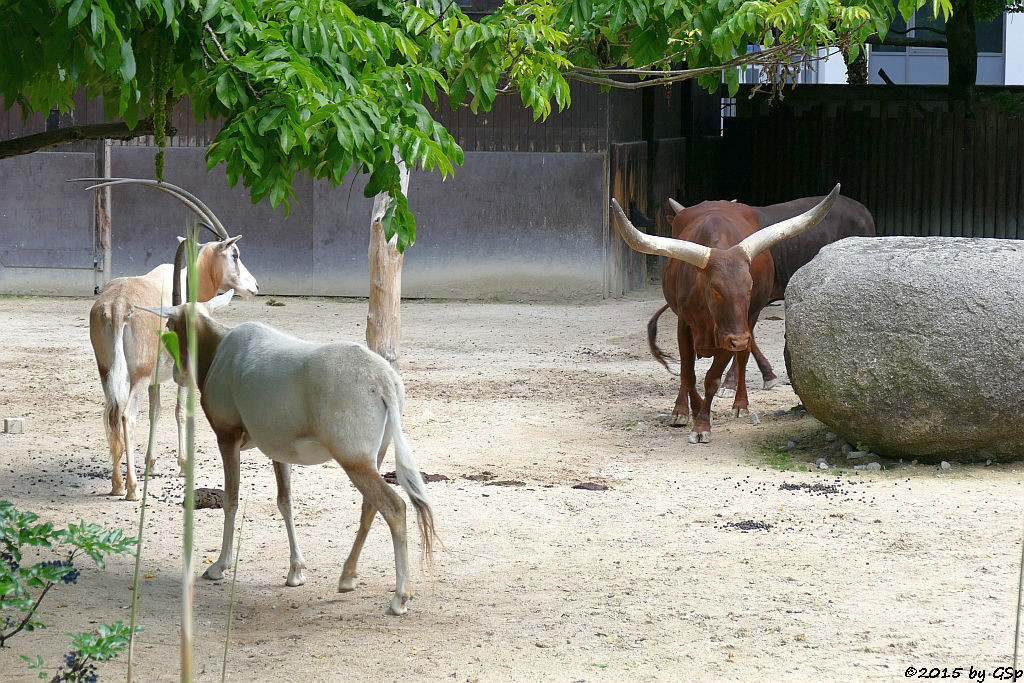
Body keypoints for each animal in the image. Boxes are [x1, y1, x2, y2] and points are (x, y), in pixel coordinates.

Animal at [82, 180, 262, 501]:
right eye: (235, 254)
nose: (254, 286)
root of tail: (117, 305)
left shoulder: (155, 378)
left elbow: (157, 412)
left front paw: (151, 463)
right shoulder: (181, 371)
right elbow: (180, 411)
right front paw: (182, 464)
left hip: (106, 371)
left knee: (111, 414)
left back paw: (117, 483)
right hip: (136, 375)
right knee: (126, 416)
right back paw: (132, 488)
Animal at [140, 290, 436, 618]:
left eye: (169, 324)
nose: (176, 374)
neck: (220, 349)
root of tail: (384, 382)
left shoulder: (227, 438)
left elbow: (231, 499)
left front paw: (218, 567)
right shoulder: (278, 451)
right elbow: (285, 502)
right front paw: (296, 572)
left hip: (354, 461)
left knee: (395, 507)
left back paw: (399, 598)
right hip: (374, 458)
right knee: (370, 507)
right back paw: (347, 579)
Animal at [610, 187, 835, 444]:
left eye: (749, 287)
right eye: (715, 289)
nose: (739, 339)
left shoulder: (730, 334)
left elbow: (712, 378)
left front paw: (701, 424)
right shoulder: (684, 325)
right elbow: (687, 374)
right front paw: (689, 410)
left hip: (750, 318)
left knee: (744, 356)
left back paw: (741, 403)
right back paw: (681, 409)